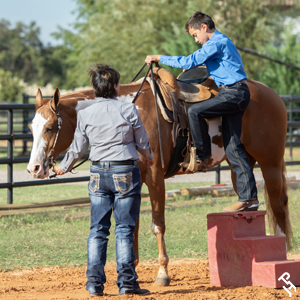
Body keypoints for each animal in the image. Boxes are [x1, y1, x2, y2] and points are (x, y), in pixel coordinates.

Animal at [27, 75, 292, 286]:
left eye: (50, 127)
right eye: (32, 127)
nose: (34, 168)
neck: (131, 111)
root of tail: (272, 95)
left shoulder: (155, 177)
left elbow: (157, 225)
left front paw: (163, 273)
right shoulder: (132, 180)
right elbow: (131, 225)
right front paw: (131, 271)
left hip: (269, 162)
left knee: (278, 206)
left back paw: (283, 253)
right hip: (241, 161)